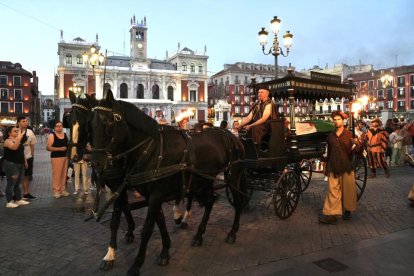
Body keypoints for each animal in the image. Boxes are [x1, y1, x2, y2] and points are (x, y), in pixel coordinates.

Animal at [89, 90, 247, 274]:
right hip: (206, 178)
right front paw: (165, 252)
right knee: (209, 203)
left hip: (233, 177)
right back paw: (199, 235)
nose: (96, 163)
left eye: (108, 123)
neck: (152, 150)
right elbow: (160, 223)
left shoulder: (156, 195)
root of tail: (231, 135)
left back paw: (232, 232)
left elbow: (147, 229)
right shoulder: (152, 195)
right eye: (91, 125)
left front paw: (136, 264)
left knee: (237, 202)